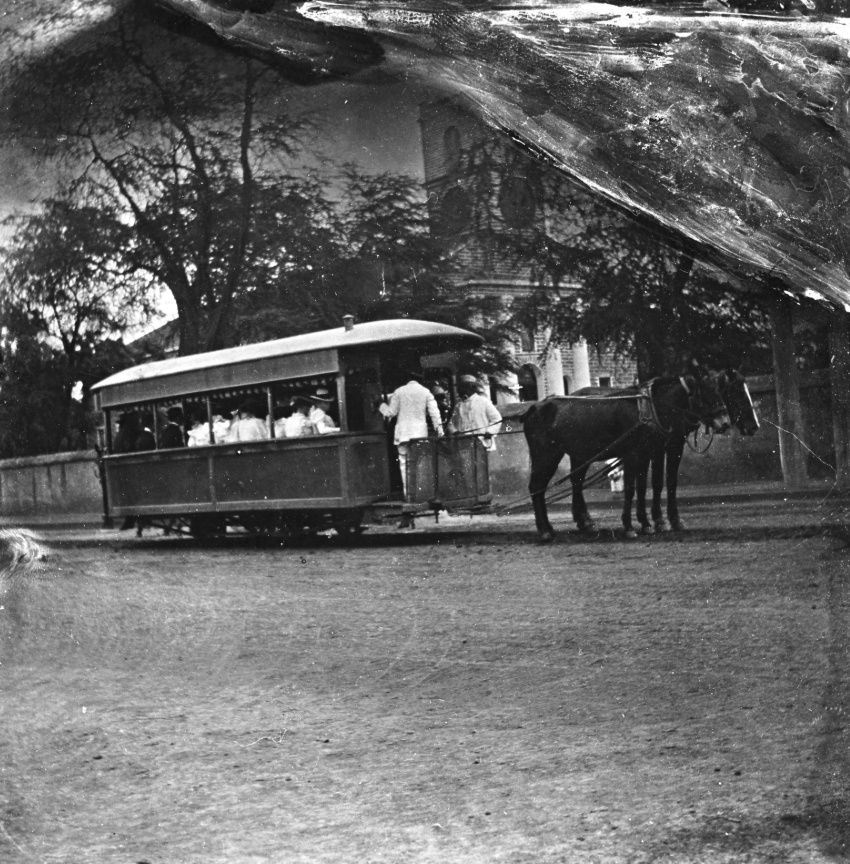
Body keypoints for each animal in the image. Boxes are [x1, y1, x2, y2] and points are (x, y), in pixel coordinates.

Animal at [520, 370, 724, 540]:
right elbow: (631, 488)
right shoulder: (635, 454)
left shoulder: (653, 450)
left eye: (719, 391)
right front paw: (631, 526)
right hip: (546, 455)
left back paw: (583, 522)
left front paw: (651, 522)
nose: (724, 422)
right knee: (536, 488)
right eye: (706, 394)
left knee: (575, 482)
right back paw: (545, 529)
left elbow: (651, 485)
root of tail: (536, 407)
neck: (650, 408)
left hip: (579, 454)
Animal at [644, 366, 760, 532]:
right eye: (738, 391)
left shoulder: (673, 446)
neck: (667, 405)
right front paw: (663, 519)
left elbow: (670, 480)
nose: (755, 426)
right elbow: (659, 481)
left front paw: (669, 518)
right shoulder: (661, 448)